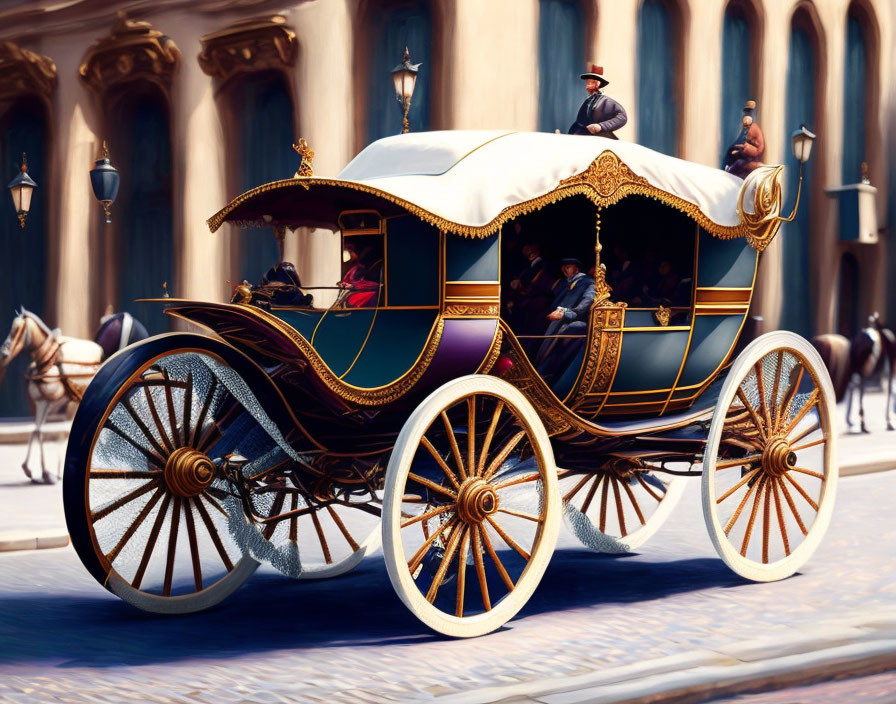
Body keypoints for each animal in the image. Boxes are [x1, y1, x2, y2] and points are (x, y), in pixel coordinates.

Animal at [0, 308, 103, 484]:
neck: (47, 361)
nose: (3, 353)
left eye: (17, 330)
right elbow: (36, 430)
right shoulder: (41, 402)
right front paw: (31, 470)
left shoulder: (49, 402)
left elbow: (41, 430)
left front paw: (45, 473)